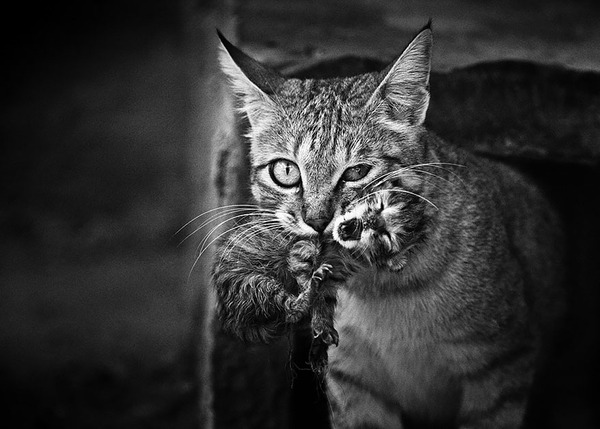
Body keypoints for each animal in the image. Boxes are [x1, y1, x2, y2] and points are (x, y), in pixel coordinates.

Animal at [213, 24, 564, 428]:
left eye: (357, 173)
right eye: (285, 171)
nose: (317, 222)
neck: (380, 288)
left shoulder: (503, 367)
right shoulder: (352, 383)